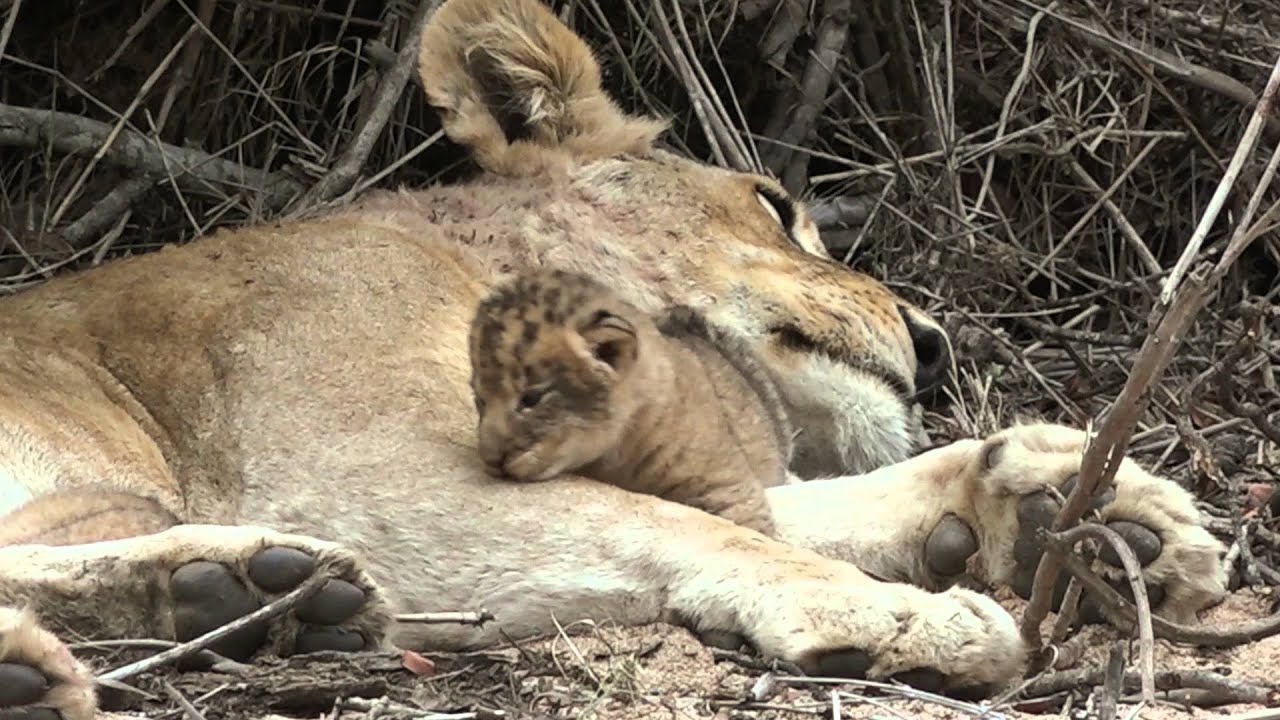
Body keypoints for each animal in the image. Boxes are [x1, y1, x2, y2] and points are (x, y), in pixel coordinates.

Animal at [0, 0, 1227, 716]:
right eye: (774, 205)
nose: (930, 347)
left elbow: (799, 504)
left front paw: (1091, 512)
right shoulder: (362, 474)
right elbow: (680, 528)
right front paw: (895, 617)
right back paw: (232, 594)